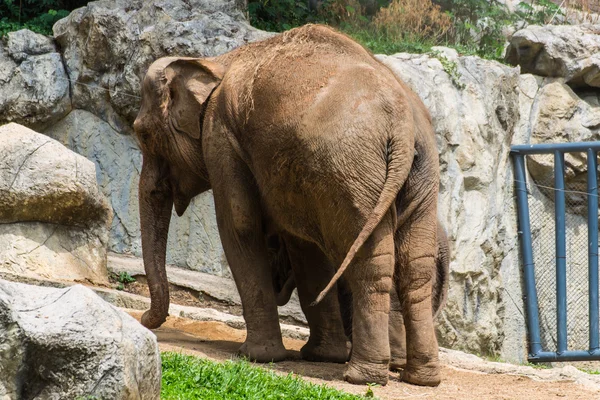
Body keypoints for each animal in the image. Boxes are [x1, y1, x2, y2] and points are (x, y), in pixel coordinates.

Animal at [132, 23, 440, 386]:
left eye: (142, 135)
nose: (143, 318)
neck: (215, 62)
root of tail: (404, 125)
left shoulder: (221, 135)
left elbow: (240, 225)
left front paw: (256, 356)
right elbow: (305, 248)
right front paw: (320, 356)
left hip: (351, 173)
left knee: (370, 261)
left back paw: (363, 376)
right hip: (419, 178)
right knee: (415, 267)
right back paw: (420, 377)